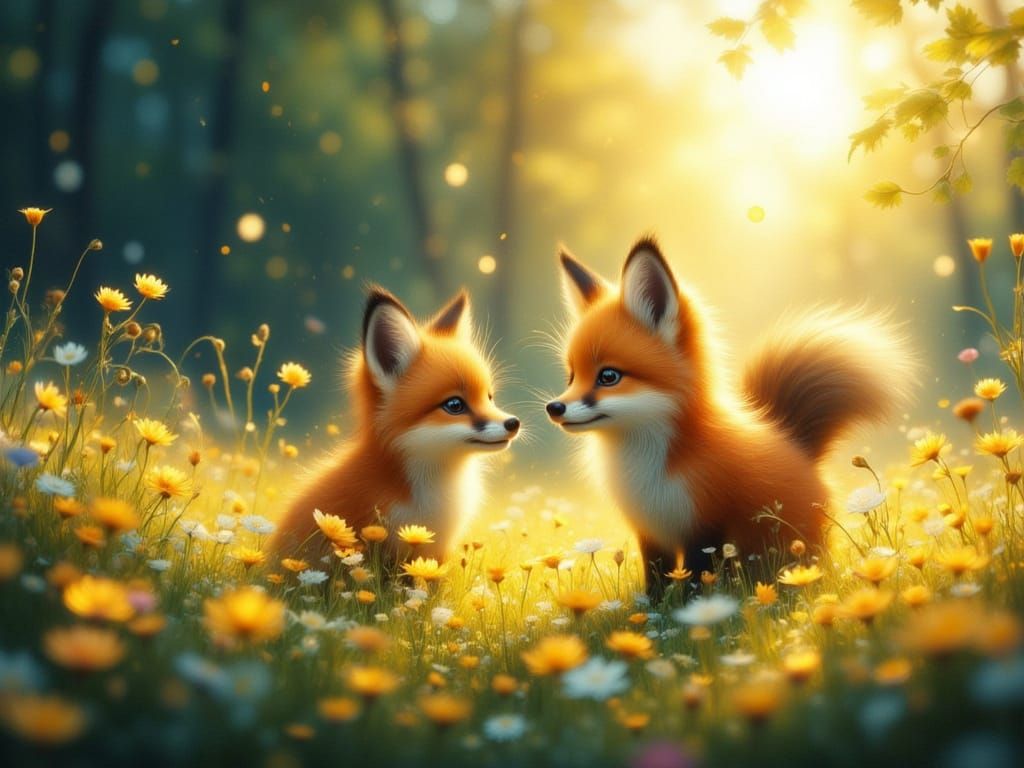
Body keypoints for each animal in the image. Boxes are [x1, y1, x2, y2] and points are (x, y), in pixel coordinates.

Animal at [546, 236, 911, 599]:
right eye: (572, 376)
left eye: (608, 376)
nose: (554, 407)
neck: (651, 460)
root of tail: (797, 445)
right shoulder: (650, 532)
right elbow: (657, 581)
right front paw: (652, 607)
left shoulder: (706, 526)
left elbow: (696, 577)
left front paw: (690, 607)